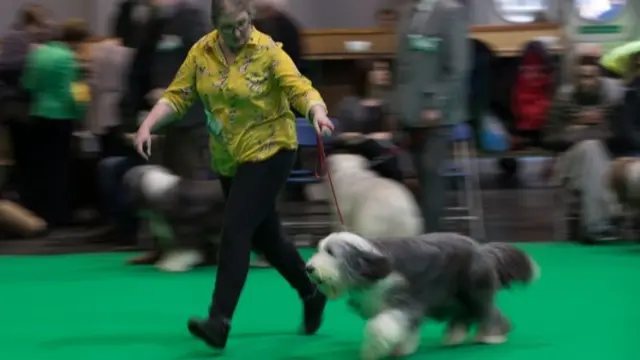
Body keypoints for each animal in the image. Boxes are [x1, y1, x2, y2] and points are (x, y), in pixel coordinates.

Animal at [308, 232, 536, 358]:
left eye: (331, 252)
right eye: (320, 249)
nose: (309, 268)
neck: (372, 269)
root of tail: (482, 249)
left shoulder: (406, 301)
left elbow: (381, 326)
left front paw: (373, 351)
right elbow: (403, 329)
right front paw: (402, 349)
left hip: (473, 291)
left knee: (488, 312)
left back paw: (492, 336)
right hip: (452, 297)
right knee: (464, 315)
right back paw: (454, 338)